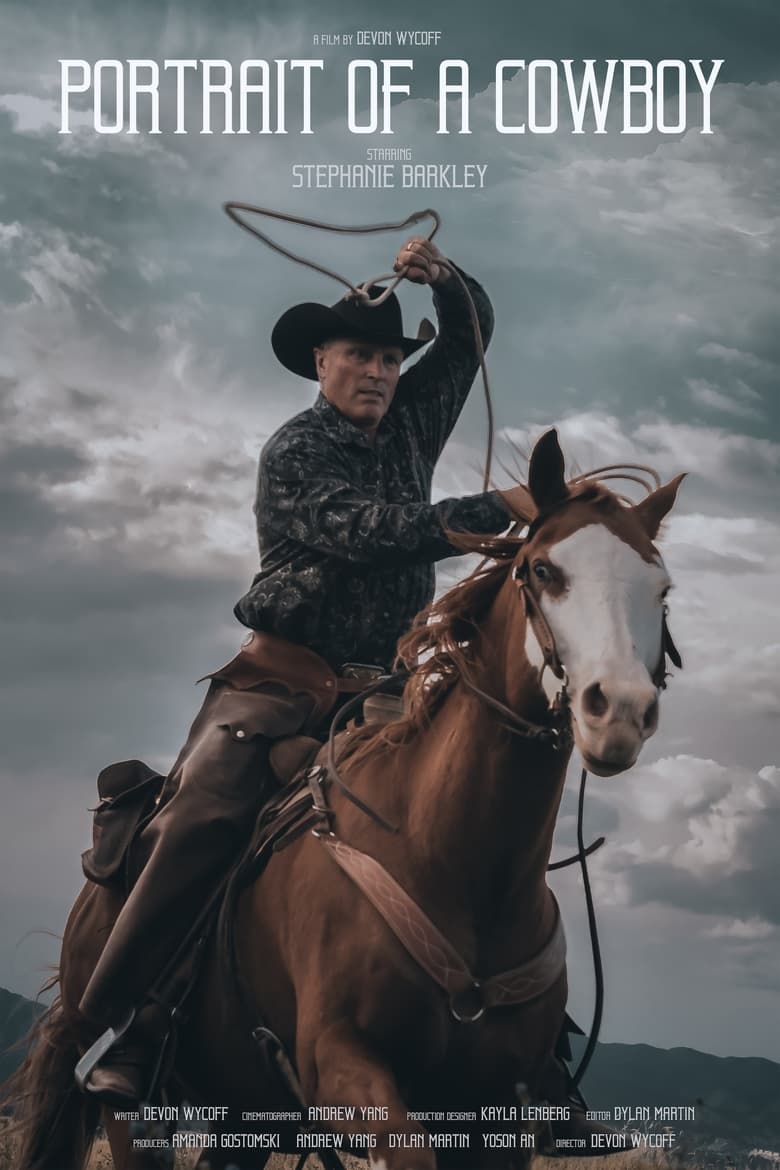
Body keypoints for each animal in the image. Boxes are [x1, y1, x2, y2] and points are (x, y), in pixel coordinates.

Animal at [3, 430, 682, 1170]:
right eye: (542, 569)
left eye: (662, 589)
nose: (619, 711)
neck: (452, 858)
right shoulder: (342, 1063)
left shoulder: (499, 1114)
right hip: (129, 1103)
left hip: (244, 1114)